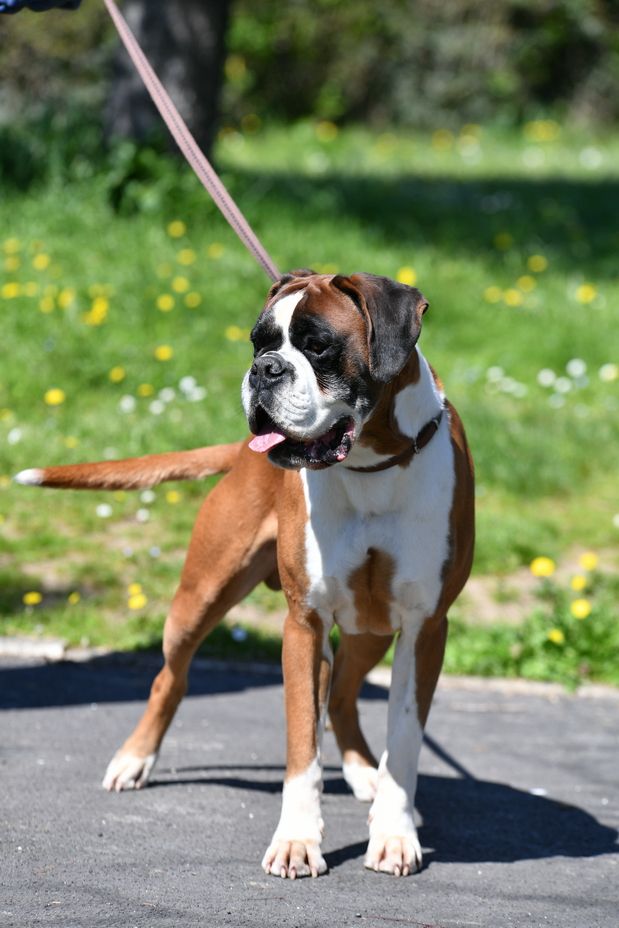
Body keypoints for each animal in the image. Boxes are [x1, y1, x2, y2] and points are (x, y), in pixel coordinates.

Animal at [15, 270, 474, 878]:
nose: (264, 370)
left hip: (370, 630)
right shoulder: (303, 625)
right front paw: (298, 841)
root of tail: (241, 452)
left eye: (318, 345)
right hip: (200, 600)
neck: (371, 464)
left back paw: (363, 773)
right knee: (171, 679)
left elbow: (403, 740)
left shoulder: (424, 629)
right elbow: (302, 744)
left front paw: (394, 835)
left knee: (344, 694)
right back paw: (134, 759)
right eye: (258, 343)